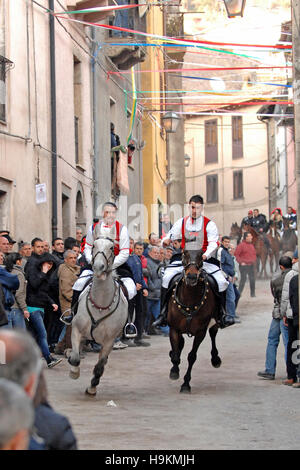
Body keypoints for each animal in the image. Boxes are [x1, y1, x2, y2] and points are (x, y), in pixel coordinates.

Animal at [68, 233, 127, 394]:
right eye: (94, 245)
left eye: (112, 248)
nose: (99, 267)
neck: (100, 304)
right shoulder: (76, 330)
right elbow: (75, 358)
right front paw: (74, 372)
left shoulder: (109, 341)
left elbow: (100, 366)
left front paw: (92, 388)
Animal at [168, 250, 221, 392]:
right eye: (184, 254)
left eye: (201, 256)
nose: (191, 276)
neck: (189, 299)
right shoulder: (174, 328)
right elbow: (176, 354)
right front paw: (174, 370)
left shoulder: (200, 332)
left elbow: (192, 356)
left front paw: (186, 384)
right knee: (180, 344)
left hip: (214, 322)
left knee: (213, 334)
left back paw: (216, 359)